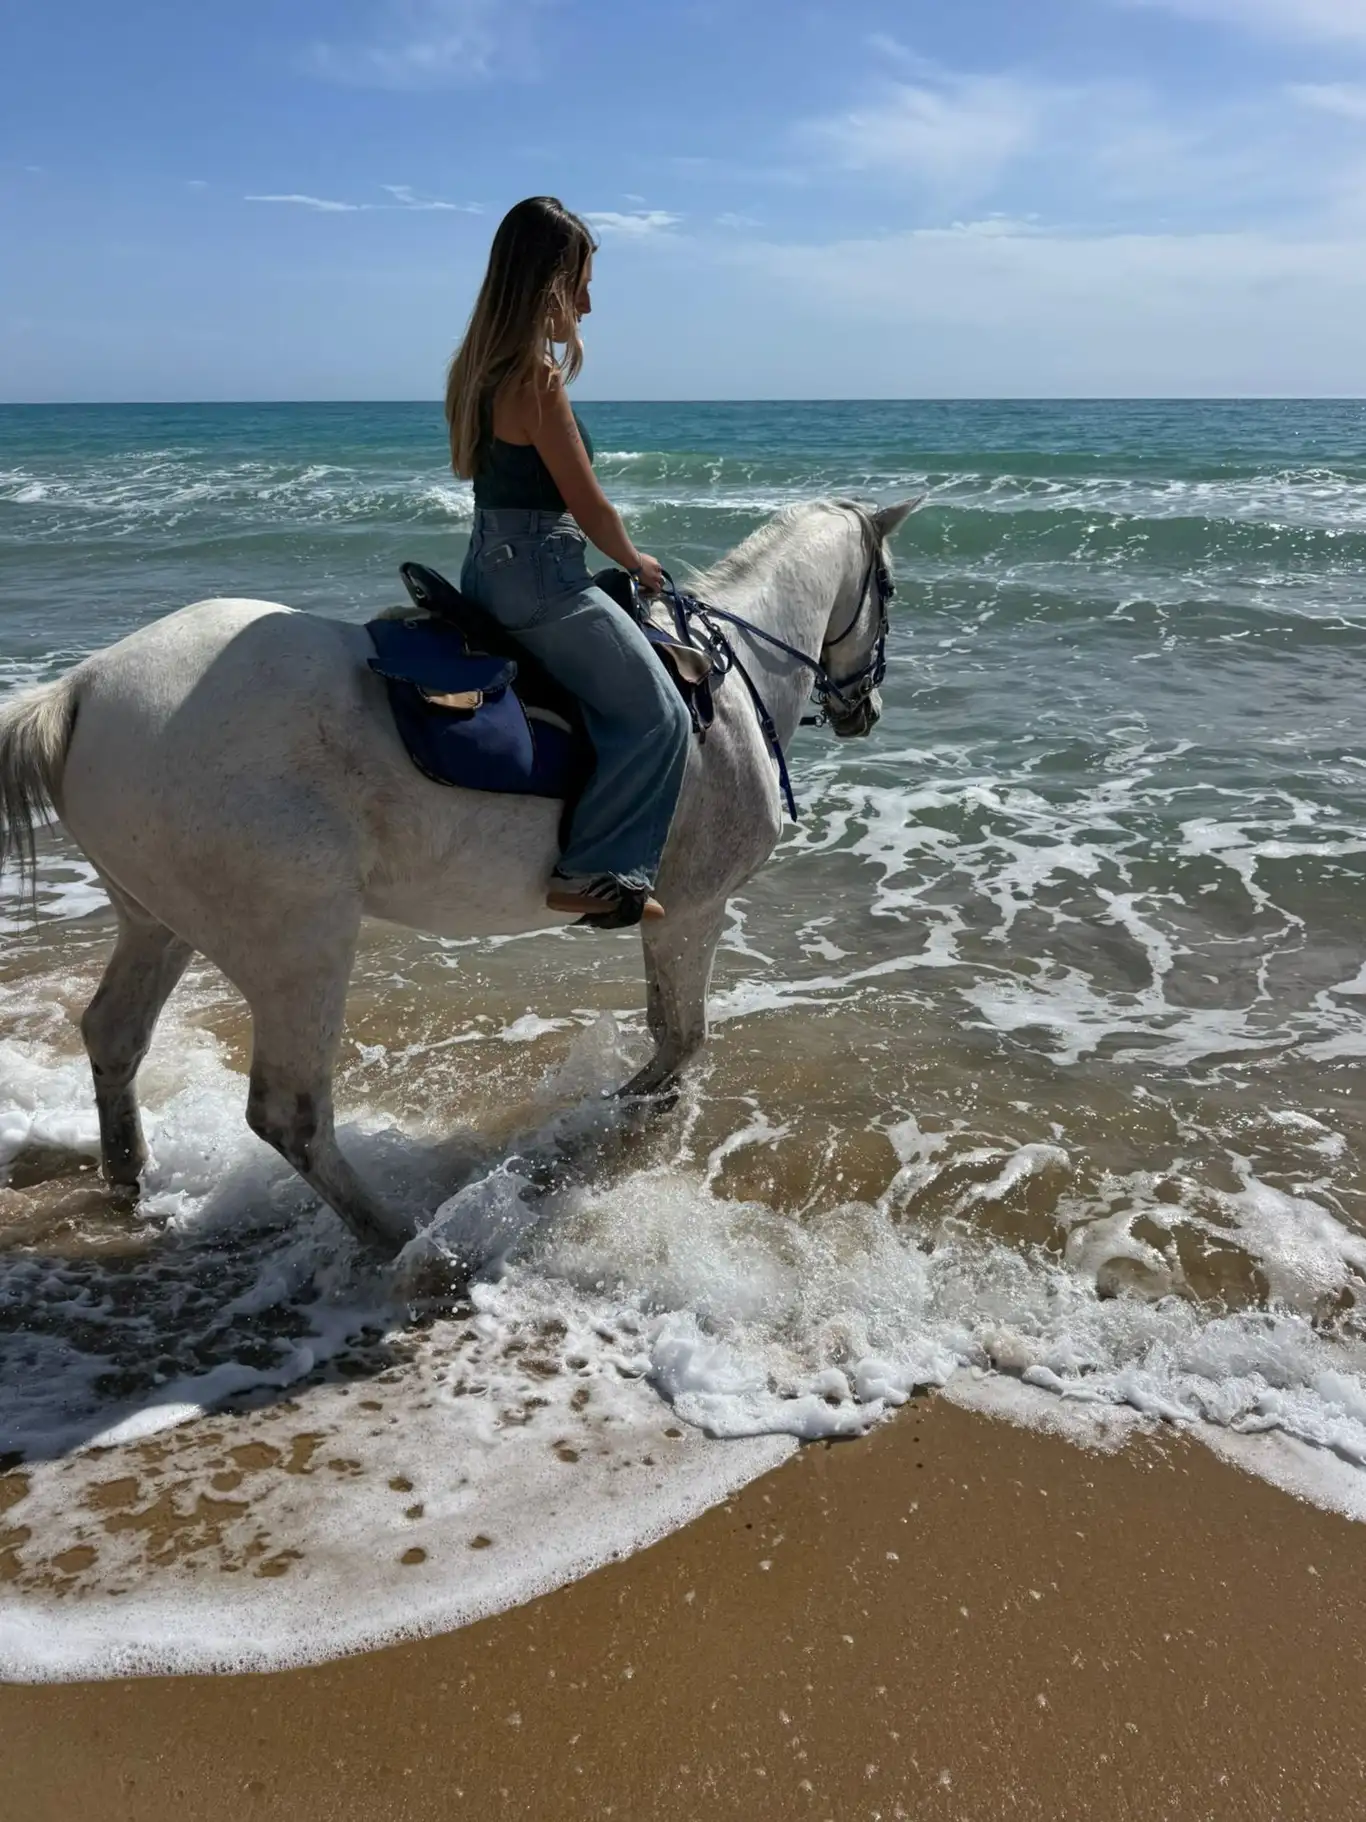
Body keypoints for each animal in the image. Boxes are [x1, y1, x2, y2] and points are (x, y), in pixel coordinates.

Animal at [0, 496, 916, 1254]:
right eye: (890, 590)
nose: (865, 708)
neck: (725, 679)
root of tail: (83, 687)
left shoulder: (672, 915)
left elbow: (669, 1033)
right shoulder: (695, 909)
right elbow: (681, 1040)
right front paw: (600, 1124)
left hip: (156, 922)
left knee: (115, 1036)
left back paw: (128, 1175)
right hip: (298, 945)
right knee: (291, 1113)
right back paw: (401, 1240)